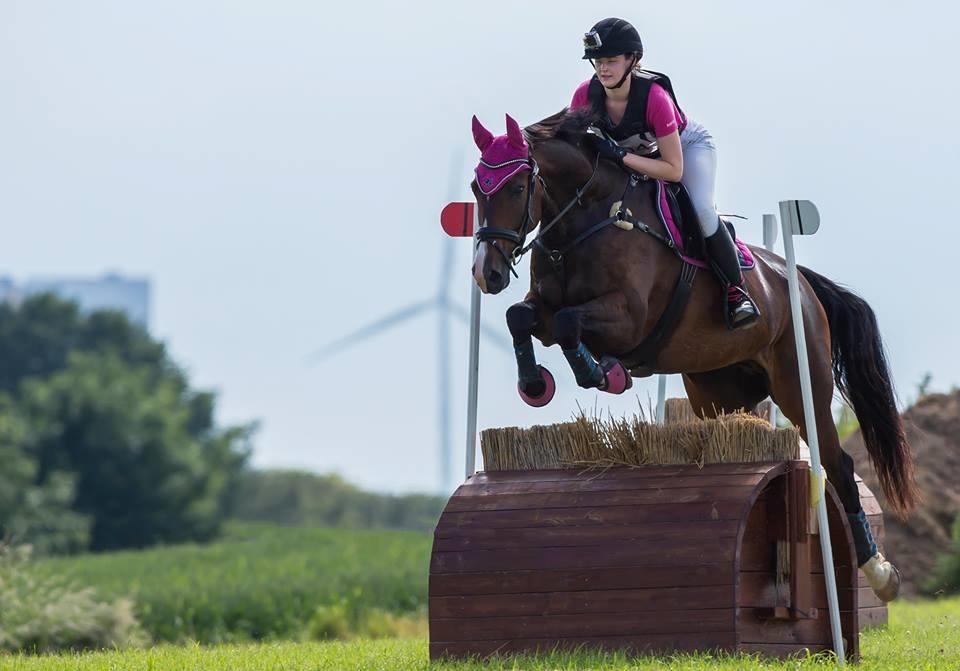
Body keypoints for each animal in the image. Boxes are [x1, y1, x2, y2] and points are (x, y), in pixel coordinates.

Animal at [468, 110, 920, 604]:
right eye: (476, 188)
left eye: (516, 187)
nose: (487, 274)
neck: (585, 220)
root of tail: (799, 281)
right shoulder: (544, 310)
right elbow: (520, 316)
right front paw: (535, 384)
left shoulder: (628, 318)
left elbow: (571, 323)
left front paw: (605, 373)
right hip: (719, 392)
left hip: (801, 383)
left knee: (837, 464)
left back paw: (881, 572)